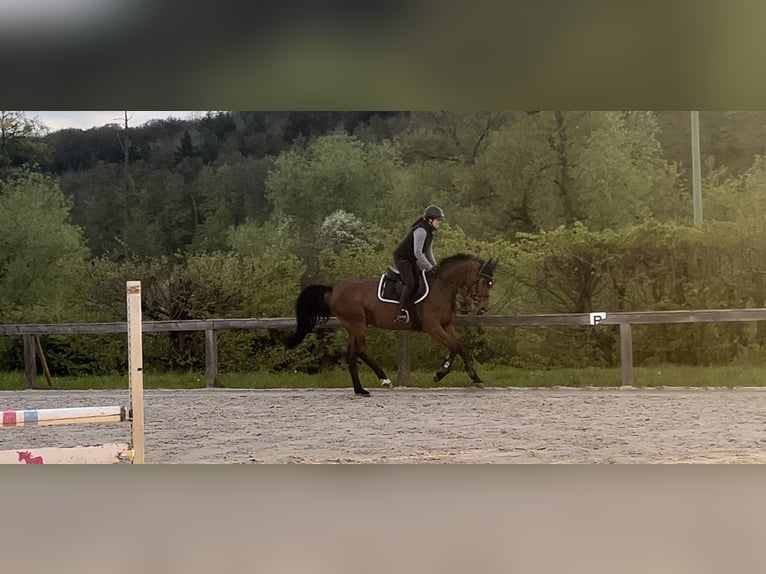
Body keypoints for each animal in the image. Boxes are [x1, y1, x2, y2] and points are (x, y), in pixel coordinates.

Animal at [285, 253, 497, 396]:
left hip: (352, 326)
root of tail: (334, 288)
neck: (443, 286)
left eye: (490, 283)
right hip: (358, 324)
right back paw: (384, 380)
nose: (483, 307)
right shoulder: (433, 328)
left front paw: (474, 378)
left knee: (351, 356)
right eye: (482, 281)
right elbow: (454, 347)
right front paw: (441, 372)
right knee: (361, 351)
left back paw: (360, 390)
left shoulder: (446, 325)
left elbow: (460, 347)